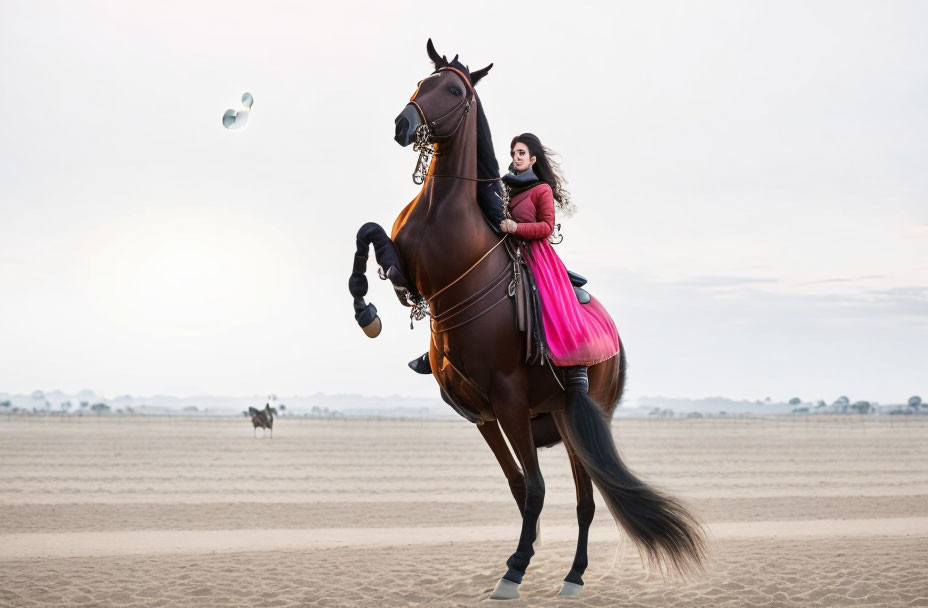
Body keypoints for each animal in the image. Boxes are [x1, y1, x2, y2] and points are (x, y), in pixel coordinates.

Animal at [348, 40, 704, 600]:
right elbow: (369, 234)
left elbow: (535, 490)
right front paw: (365, 307)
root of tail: (616, 342)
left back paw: (574, 576)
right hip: (520, 418)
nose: (404, 125)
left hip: (574, 419)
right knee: (544, 492)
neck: (445, 207)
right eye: (422, 82)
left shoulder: (508, 399)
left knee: (584, 501)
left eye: (454, 91)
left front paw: (515, 569)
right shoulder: (480, 403)